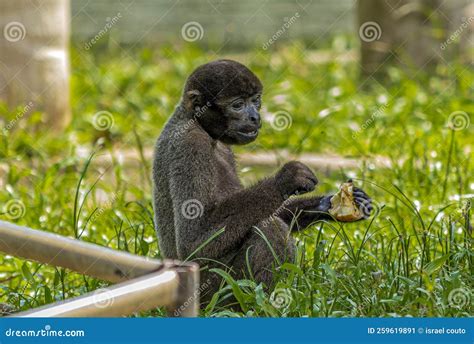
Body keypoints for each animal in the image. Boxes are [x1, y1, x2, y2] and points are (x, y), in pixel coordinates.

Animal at [153, 59, 374, 304]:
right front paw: (286, 179)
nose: (255, 117)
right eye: (238, 105)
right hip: (213, 290)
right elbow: (192, 241)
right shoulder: (191, 146)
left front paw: (328, 204)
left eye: (255, 101)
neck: (200, 126)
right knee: (270, 228)